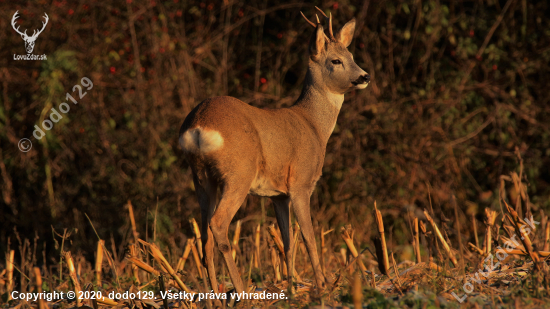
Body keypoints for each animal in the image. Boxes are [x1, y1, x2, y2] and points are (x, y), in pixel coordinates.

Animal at [180, 7, 370, 294]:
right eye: (336, 61)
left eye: (352, 56)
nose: (364, 76)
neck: (314, 125)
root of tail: (199, 125)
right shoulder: (301, 183)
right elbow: (308, 237)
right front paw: (321, 285)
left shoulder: (278, 195)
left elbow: (288, 241)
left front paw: (291, 287)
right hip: (238, 173)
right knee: (218, 224)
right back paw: (241, 290)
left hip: (201, 177)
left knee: (204, 238)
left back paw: (214, 295)